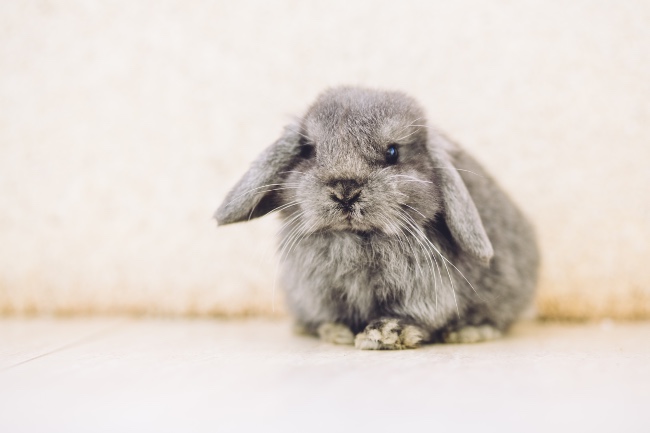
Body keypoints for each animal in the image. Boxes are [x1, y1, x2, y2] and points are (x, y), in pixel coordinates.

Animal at [215, 86, 539, 350]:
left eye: (393, 152)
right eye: (309, 150)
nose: (345, 190)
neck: (355, 238)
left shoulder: (422, 295)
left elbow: (411, 316)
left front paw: (383, 335)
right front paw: (337, 333)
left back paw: (468, 333)